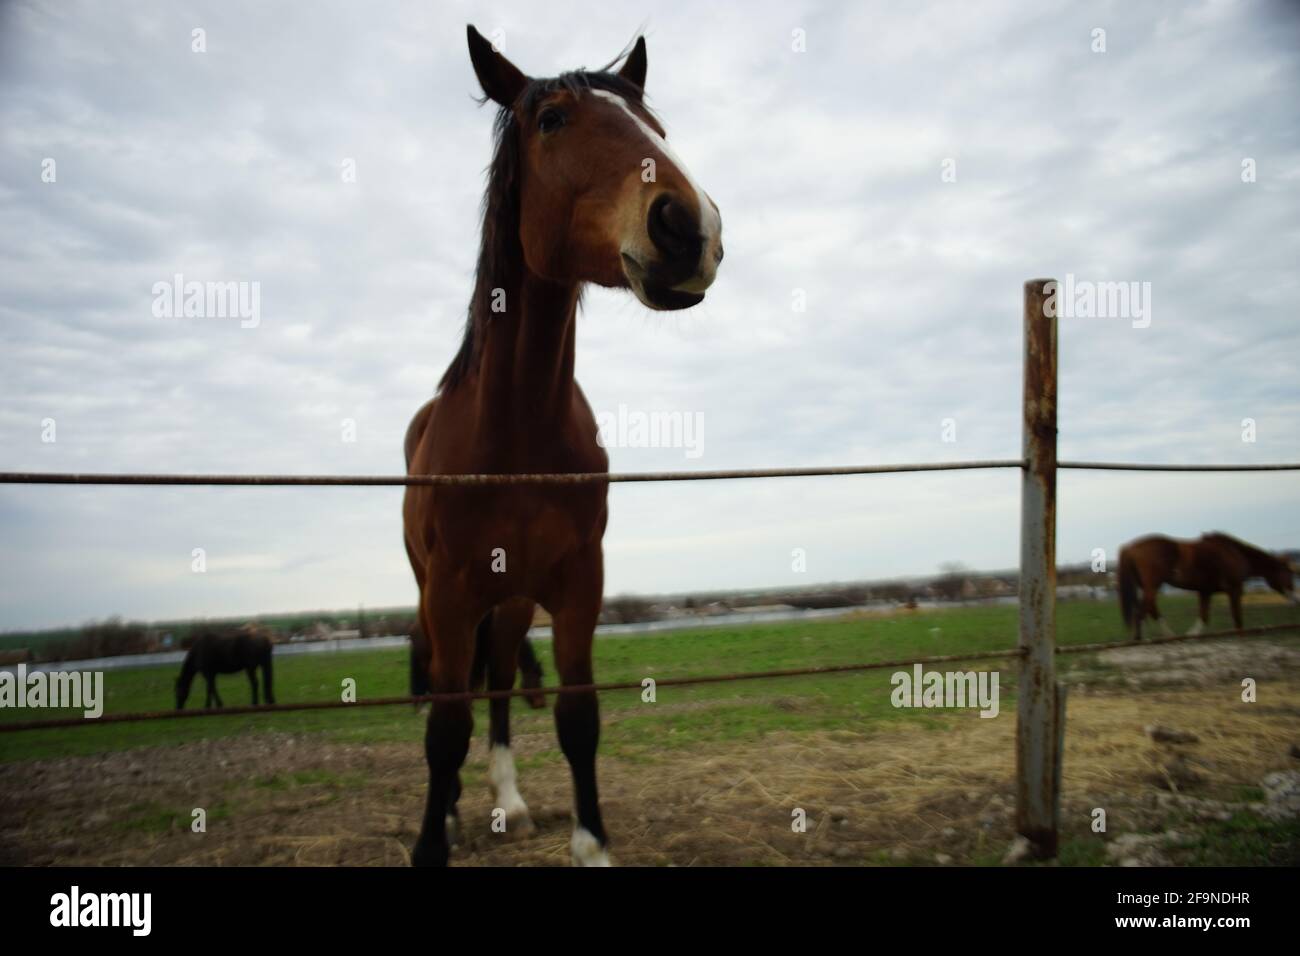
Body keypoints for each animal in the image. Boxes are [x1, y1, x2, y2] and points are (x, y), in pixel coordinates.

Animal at [401, 26, 722, 867]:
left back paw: (508, 802)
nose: (690, 226)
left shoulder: (580, 582)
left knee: (500, 683)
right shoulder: (449, 594)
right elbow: (443, 730)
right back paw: (456, 812)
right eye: (551, 120)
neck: (517, 434)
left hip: (512, 602)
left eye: (657, 127)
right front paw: (432, 840)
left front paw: (592, 842)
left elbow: (577, 716)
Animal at [1118, 532, 1298, 640]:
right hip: (1152, 586)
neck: (1234, 553)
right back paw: (1145, 638)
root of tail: (1130, 548)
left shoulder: (1205, 591)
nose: (1296, 598)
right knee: (1143, 611)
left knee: (1147, 609)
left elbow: (1204, 616)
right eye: (1289, 573)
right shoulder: (1235, 590)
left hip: (1149, 587)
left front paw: (1191, 635)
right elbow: (1237, 617)